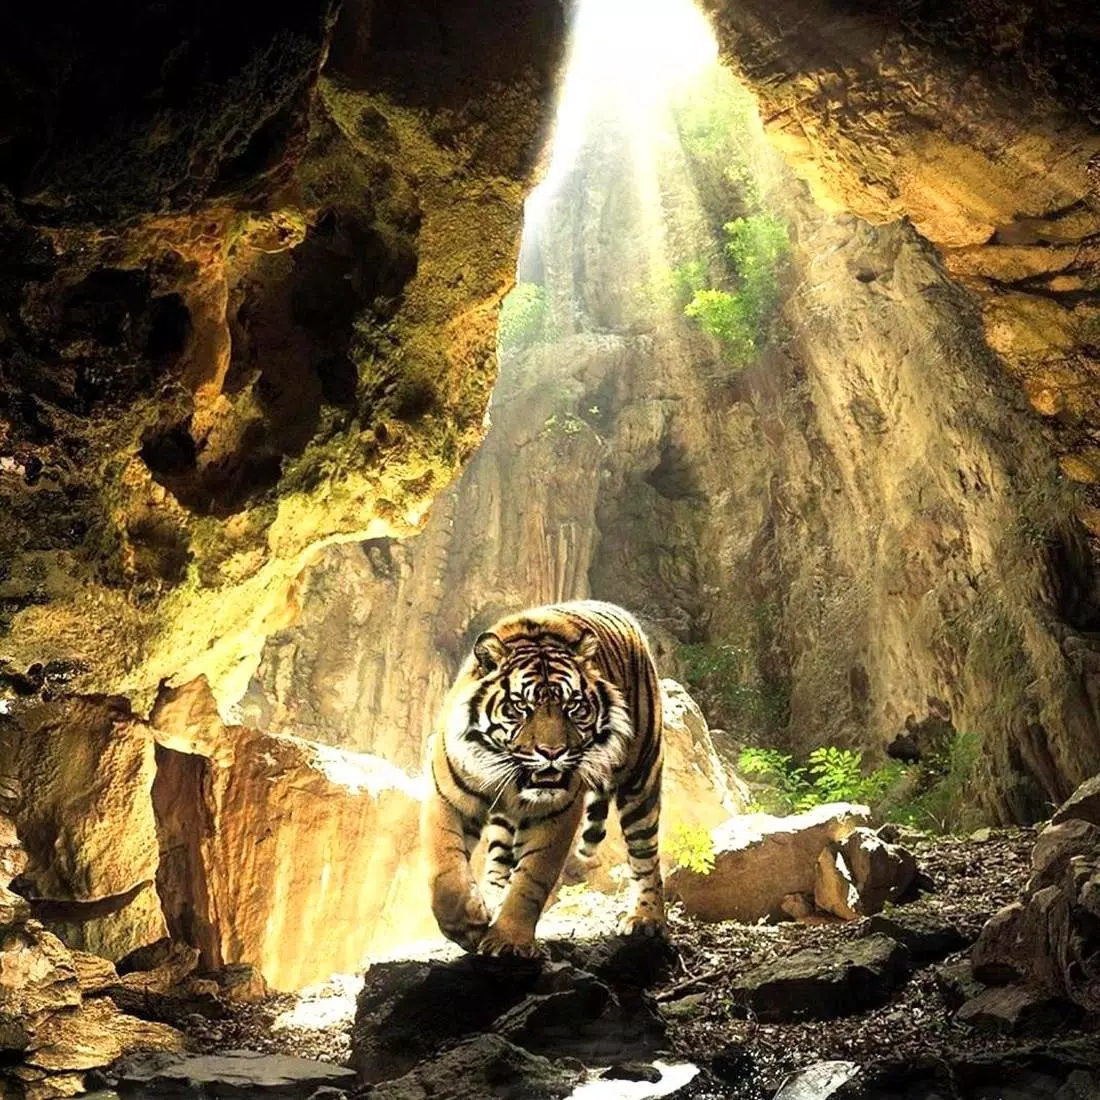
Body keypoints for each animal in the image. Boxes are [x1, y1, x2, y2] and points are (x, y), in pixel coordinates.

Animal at [422, 599, 665, 957]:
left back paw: (647, 918)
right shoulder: (447, 797)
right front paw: (468, 924)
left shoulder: (555, 812)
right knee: (499, 858)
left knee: (645, 854)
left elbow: (532, 879)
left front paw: (508, 940)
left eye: (573, 707)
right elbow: (446, 869)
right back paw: (491, 898)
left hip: (641, 778)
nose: (553, 752)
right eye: (520, 707)